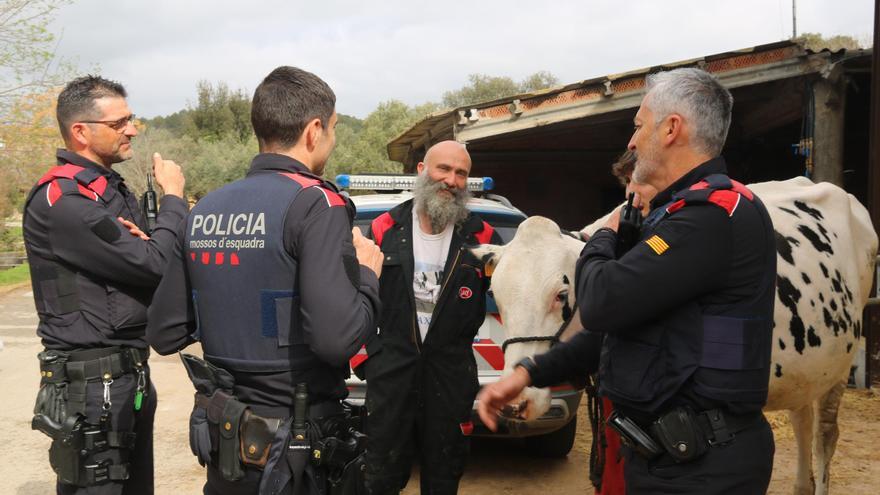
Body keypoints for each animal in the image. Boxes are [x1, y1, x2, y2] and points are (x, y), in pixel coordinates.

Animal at [478, 178, 876, 495]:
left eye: (561, 294)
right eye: (496, 294)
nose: (516, 402)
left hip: (840, 366)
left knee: (824, 436)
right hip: (808, 367)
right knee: (802, 419)